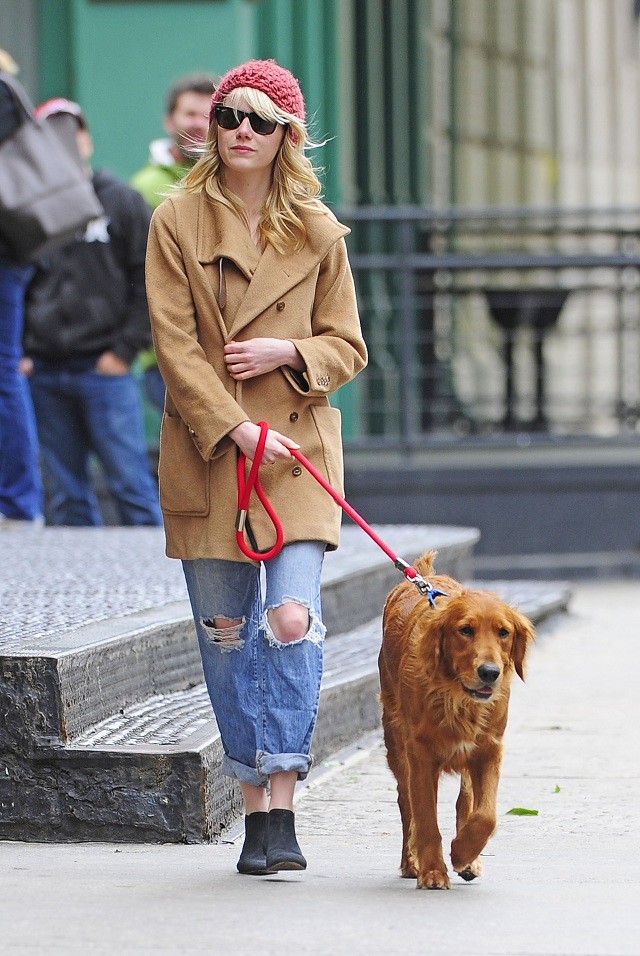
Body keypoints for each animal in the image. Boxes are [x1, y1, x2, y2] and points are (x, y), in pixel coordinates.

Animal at [378, 552, 532, 888]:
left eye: (503, 632)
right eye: (465, 630)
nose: (489, 672)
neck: (456, 696)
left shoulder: (488, 748)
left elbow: (486, 815)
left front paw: (463, 853)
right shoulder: (420, 752)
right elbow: (425, 817)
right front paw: (433, 870)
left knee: (466, 800)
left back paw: (469, 860)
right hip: (395, 741)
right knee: (406, 802)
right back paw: (411, 861)